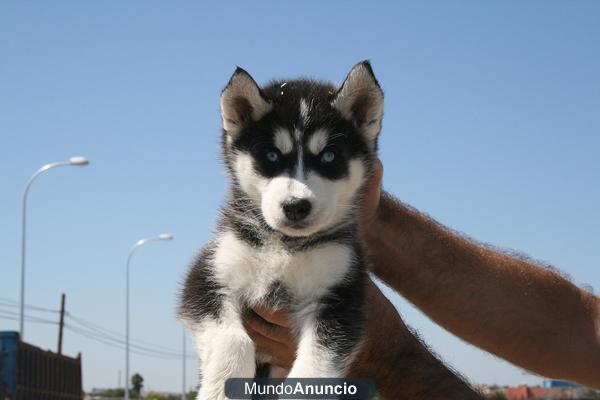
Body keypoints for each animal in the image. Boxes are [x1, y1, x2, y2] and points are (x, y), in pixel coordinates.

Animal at [178, 61, 384, 398]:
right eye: (271, 155)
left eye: (329, 156)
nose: (296, 206)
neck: (286, 246)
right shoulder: (207, 277)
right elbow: (233, 341)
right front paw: (220, 389)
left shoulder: (341, 298)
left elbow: (314, 369)